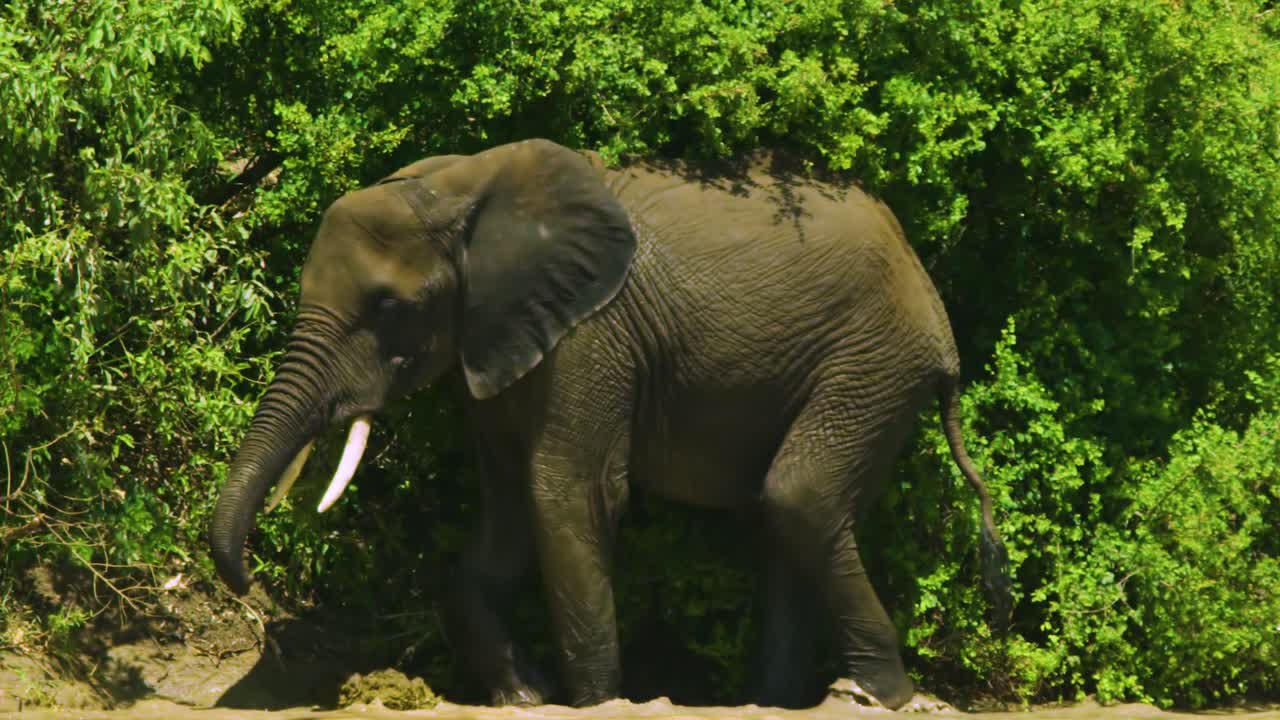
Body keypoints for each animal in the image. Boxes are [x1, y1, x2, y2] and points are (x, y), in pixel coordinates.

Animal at [208, 138, 1010, 711]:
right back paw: (775, 702)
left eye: (388, 306)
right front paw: (524, 695)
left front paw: (594, 701)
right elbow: (505, 510)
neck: (463, 187)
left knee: (800, 498)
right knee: (789, 518)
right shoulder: (498, 340)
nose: (249, 585)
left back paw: (872, 694)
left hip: (872, 363)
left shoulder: (590, 337)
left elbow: (569, 494)